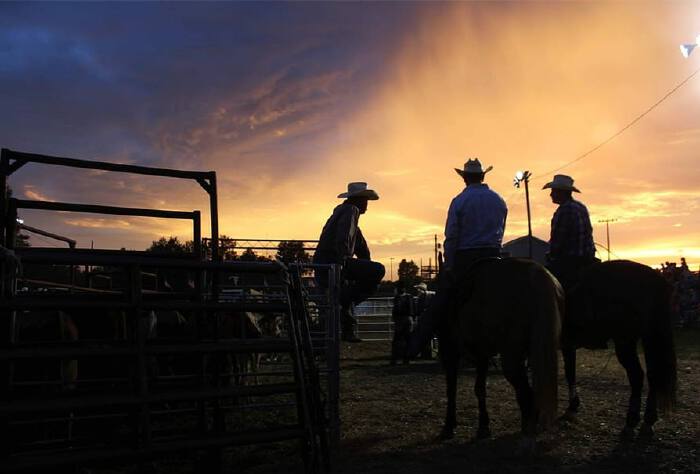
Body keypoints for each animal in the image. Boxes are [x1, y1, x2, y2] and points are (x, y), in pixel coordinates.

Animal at [440, 258, 568, 450]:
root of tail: (537, 276)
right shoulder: (482, 355)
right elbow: (479, 388)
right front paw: (483, 427)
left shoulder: (450, 351)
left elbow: (451, 389)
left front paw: (449, 426)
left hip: (511, 358)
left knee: (526, 393)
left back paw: (527, 437)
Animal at [560, 260, 676, 436]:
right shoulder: (567, 345)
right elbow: (570, 371)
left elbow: (568, 372)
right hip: (649, 337)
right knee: (653, 374)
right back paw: (648, 421)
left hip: (625, 341)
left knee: (637, 376)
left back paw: (631, 422)